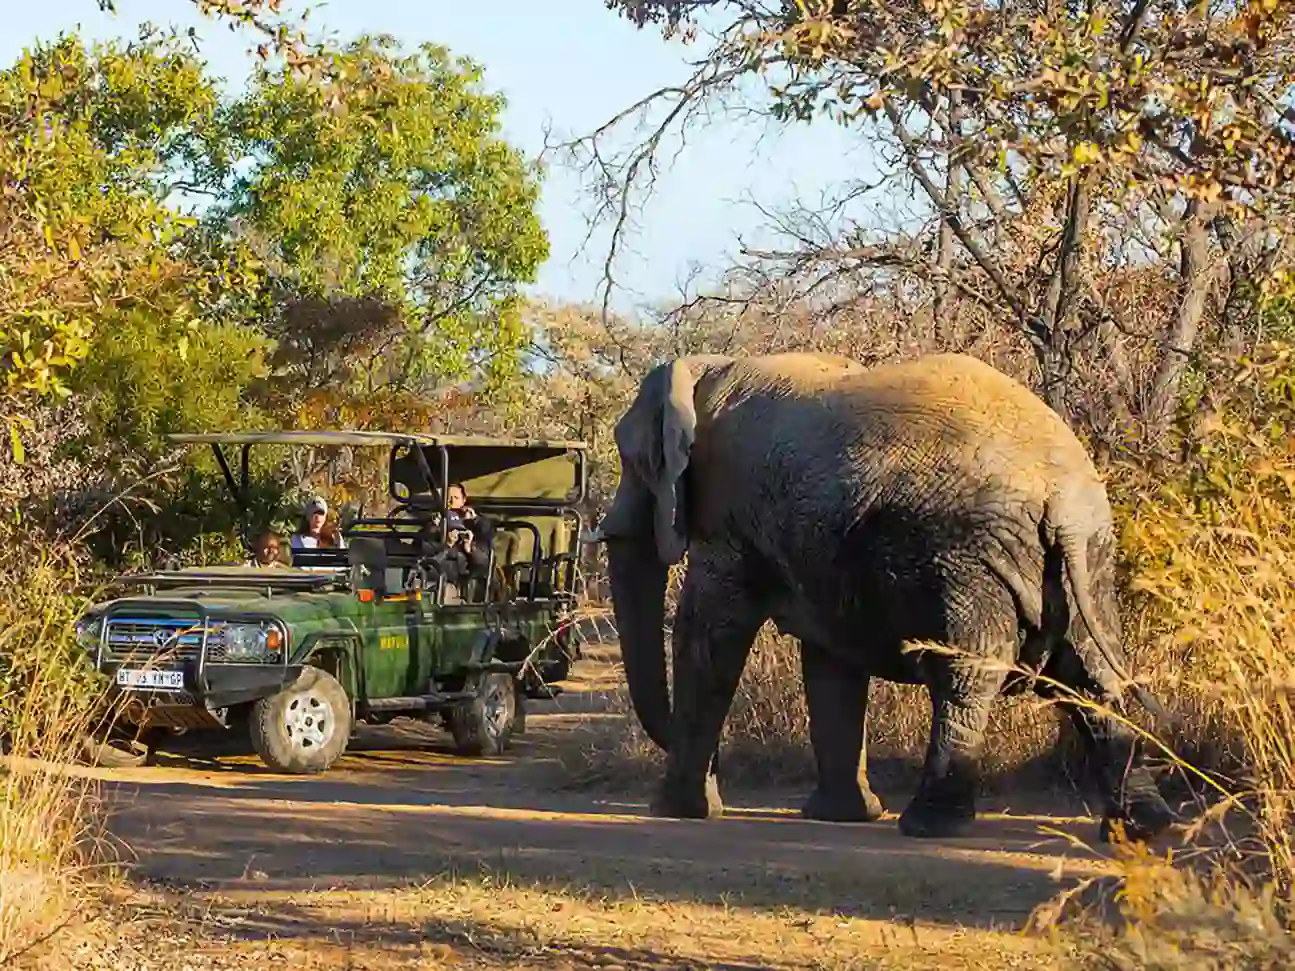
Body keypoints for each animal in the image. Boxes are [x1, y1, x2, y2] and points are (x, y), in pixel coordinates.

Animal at [589, 350, 1176, 842]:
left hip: (966, 556)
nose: (716, 771)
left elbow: (708, 635)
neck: (706, 368)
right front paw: (842, 816)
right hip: (1087, 558)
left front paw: (675, 811)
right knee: (1092, 678)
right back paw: (1139, 830)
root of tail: (1062, 497)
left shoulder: (732, 515)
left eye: (635, 461)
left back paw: (929, 825)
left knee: (967, 676)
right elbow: (829, 660)